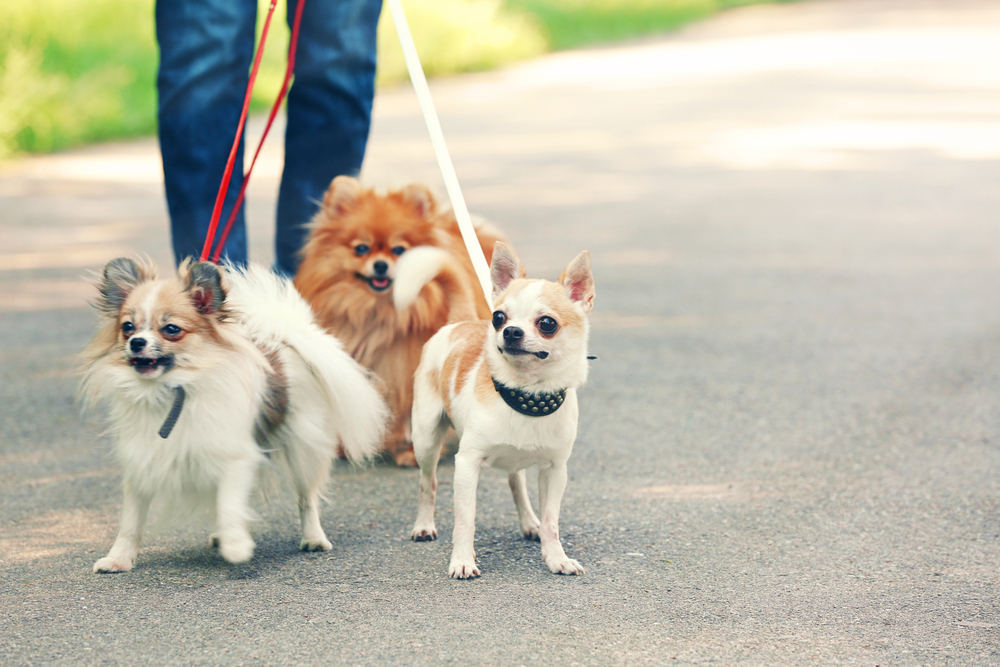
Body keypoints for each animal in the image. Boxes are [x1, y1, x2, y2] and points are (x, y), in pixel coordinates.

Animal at [79, 258, 386, 572]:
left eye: (171, 329)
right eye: (127, 327)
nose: (137, 342)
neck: (175, 390)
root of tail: (281, 338)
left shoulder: (235, 458)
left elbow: (229, 504)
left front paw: (237, 546)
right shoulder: (142, 462)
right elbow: (130, 522)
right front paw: (118, 559)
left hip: (302, 448)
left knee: (306, 498)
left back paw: (313, 538)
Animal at [292, 177, 504, 470]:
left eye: (399, 250)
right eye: (361, 248)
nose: (381, 265)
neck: (381, 316)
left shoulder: (407, 365)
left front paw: (411, 453)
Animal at [412, 243, 596, 576]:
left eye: (547, 323)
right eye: (498, 317)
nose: (509, 331)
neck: (526, 395)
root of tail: (460, 322)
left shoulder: (555, 470)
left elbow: (552, 521)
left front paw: (556, 558)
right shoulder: (467, 465)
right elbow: (465, 520)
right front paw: (462, 560)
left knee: (516, 482)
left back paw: (529, 522)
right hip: (426, 439)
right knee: (427, 482)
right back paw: (423, 525)